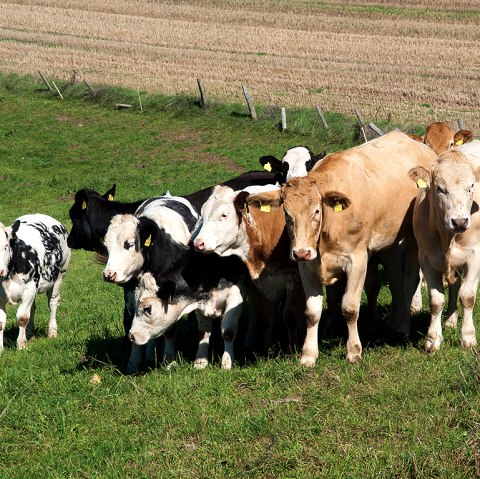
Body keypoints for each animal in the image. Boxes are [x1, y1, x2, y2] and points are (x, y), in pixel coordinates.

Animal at [0, 216, 71, 350]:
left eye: (5, 246)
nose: (0, 270)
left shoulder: (29, 289)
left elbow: (22, 317)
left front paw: (21, 345)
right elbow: (1, 322)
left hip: (60, 274)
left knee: (53, 303)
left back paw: (52, 332)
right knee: (33, 307)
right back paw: (30, 334)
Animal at [248, 129, 438, 366]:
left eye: (316, 211)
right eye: (286, 213)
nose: (300, 251)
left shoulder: (357, 261)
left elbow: (349, 307)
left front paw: (354, 351)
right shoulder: (307, 267)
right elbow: (312, 312)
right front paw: (308, 354)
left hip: (413, 238)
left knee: (410, 279)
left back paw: (403, 327)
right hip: (389, 242)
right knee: (395, 280)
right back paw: (396, 324)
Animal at [408, 149, 480, 352]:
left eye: (471, 187)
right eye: (440, 188)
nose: (460, 222)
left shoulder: (475, 257)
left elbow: (468, 297)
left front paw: (468, 338)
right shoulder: (426, 259)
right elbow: (436, 300)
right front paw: (433, 339)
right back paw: (450, 320)